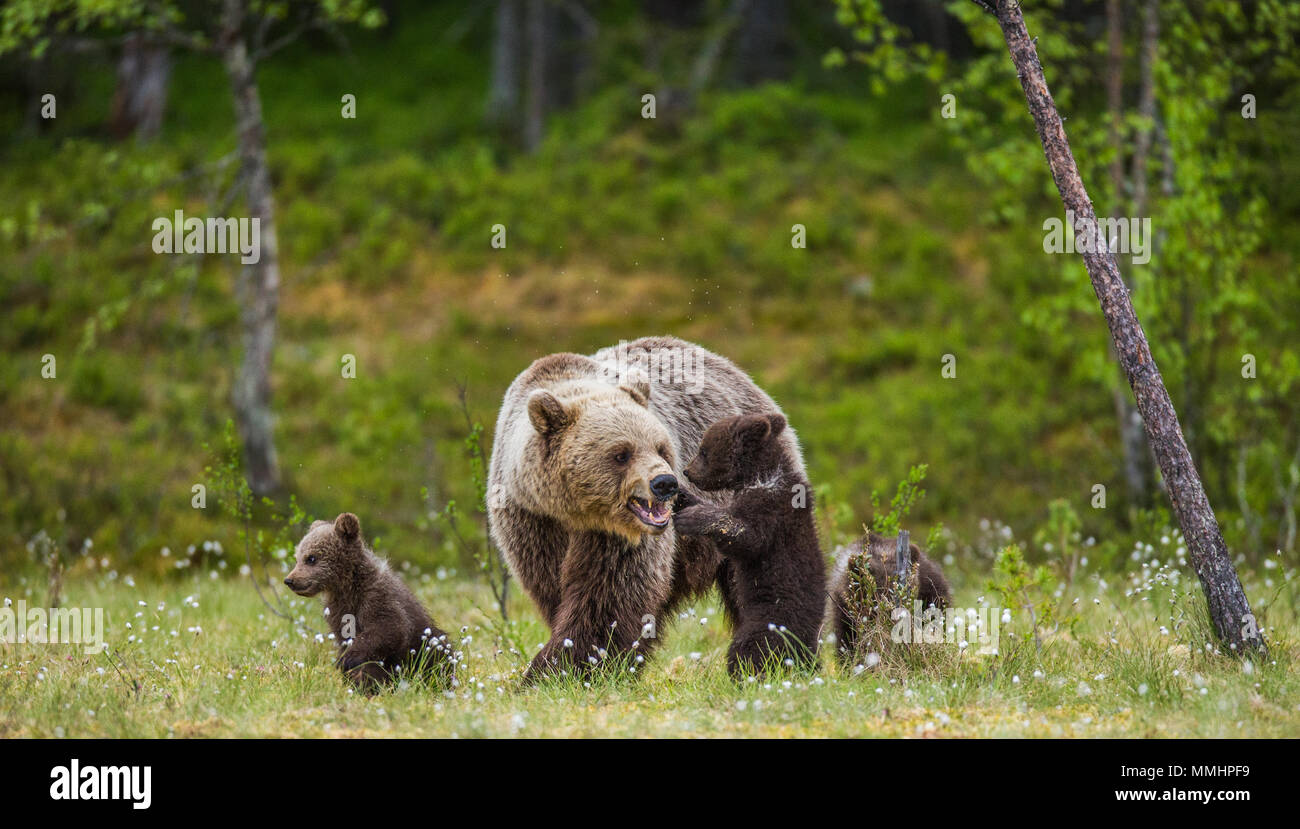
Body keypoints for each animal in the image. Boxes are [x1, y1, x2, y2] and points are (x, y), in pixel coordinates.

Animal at [284, 512, 456, 691]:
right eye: (297, 558)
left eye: (311, 558)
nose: (289, 580)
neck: (347, 587)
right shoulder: (338, 611)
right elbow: (345, 638)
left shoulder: (377, 598)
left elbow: (389, 629)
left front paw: (348, 661)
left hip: (429, 645)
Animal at [487, 336, 808, 681]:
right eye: (621, 453)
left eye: (661, 447)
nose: (666, 483)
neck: (574, 511)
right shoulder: (533, 522)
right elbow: (556, 587)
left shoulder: (618, 537)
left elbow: (609, 594)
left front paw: (564, 668)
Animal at [673, 412, 826, 678]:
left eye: (703, 451)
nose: (687, 471)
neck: (759, 475)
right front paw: (681, 495)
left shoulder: (771, 507)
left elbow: (747, 537)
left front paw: (692, 517)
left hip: (773, 615)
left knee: (750, 647)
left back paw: (745, 674)